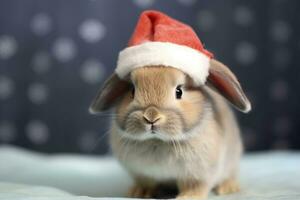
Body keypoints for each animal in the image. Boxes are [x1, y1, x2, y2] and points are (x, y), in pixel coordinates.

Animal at [89, 10, 251, 199]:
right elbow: (146, 182)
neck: (158, 141)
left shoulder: (198, 175)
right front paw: (139, 192)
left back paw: (228, 188)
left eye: (179, 91)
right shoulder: (142, 174)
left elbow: (195, 187)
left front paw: (188, 197)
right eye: (132, 90)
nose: (151, 116)